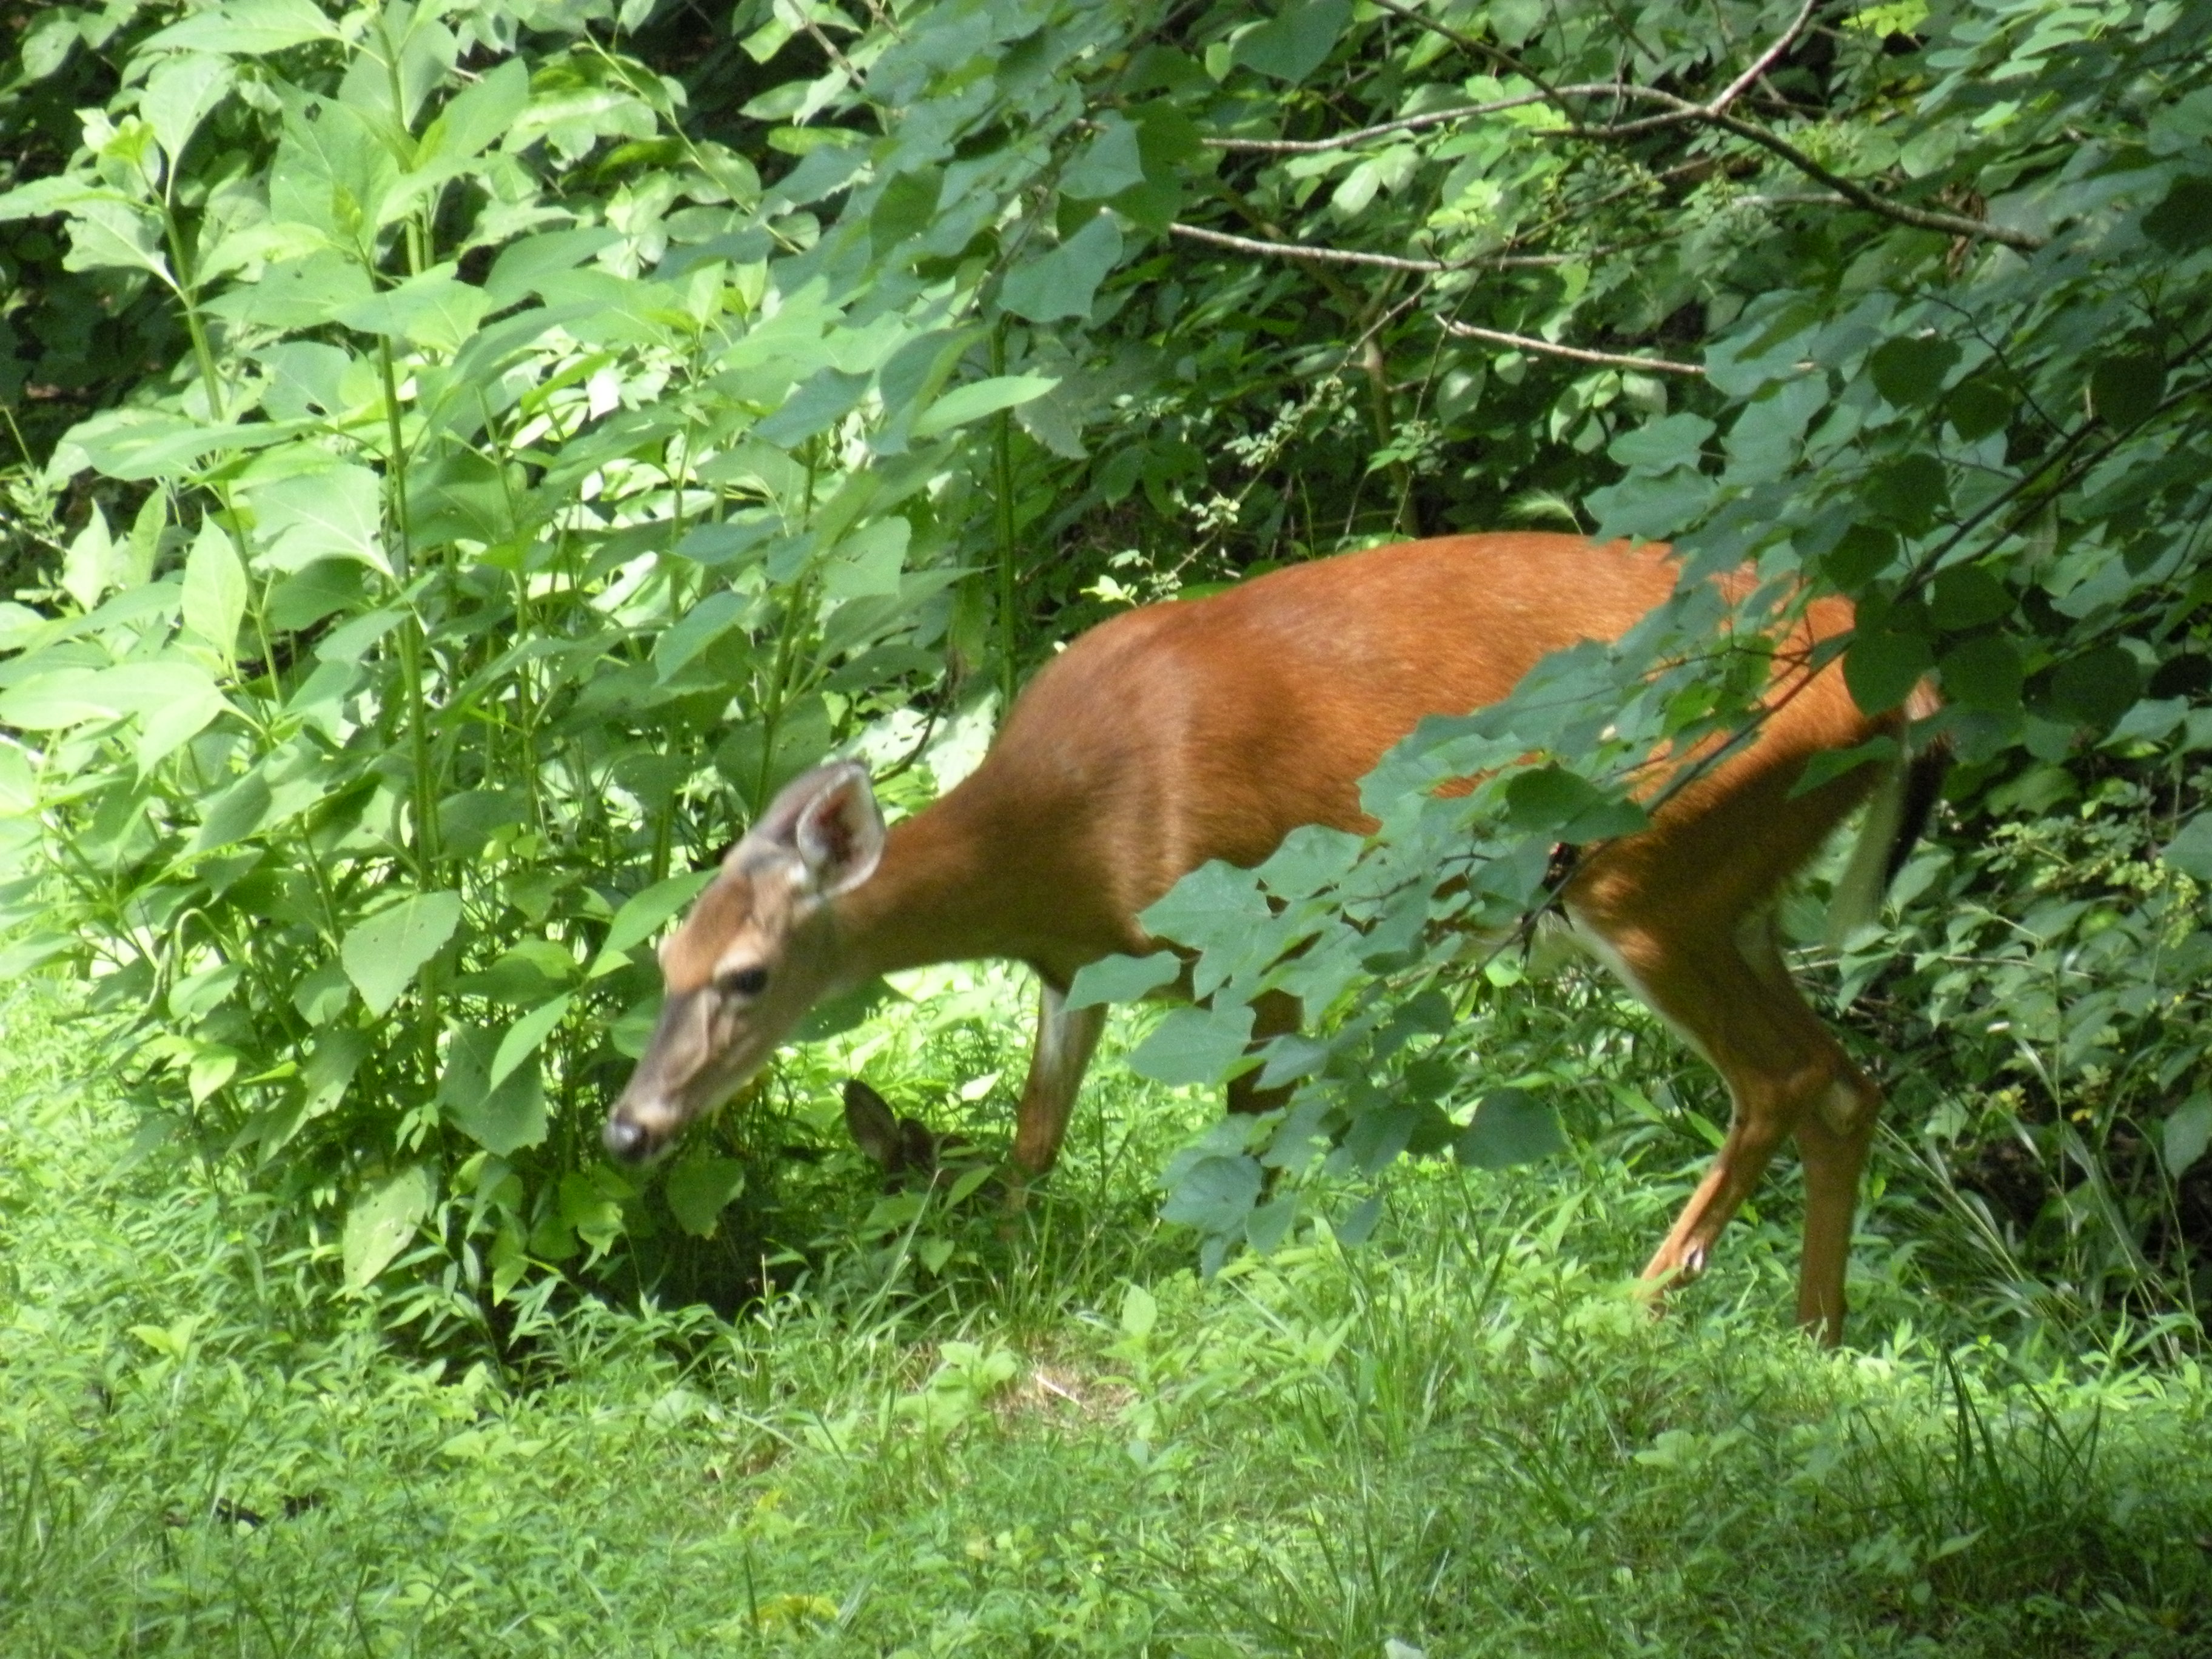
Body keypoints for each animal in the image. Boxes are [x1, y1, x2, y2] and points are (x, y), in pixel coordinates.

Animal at [603, 532, 1941, 1344]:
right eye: (663, 964)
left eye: (749, 975)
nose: (629, 1129)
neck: (1066, 833)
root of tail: (1900, 685)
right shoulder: (1076, 973)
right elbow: (1035, 1142)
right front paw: (1010, 1269)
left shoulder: (1262, 951)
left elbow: (1255, 1145)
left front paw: (1242, 1293)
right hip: (1737, 888)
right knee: (1846, 1080)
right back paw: (1816, 1329)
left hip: (1650, 865)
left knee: (1780, 1078)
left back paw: (1638, 1301)